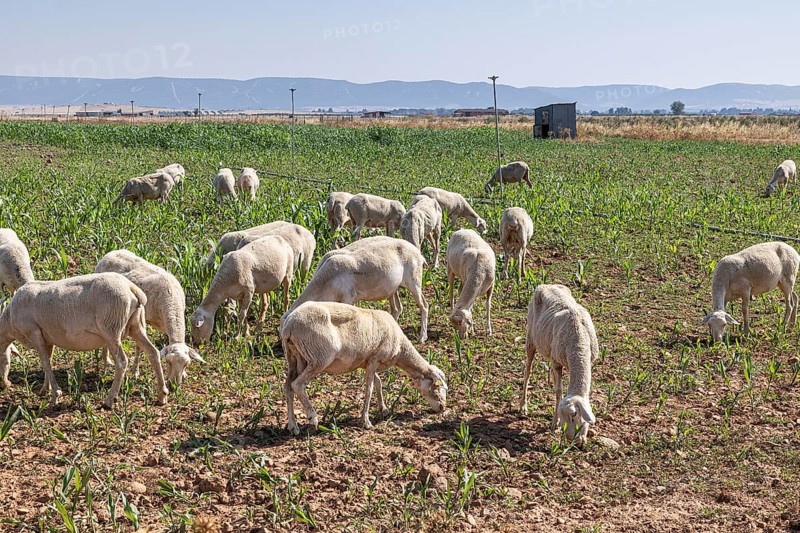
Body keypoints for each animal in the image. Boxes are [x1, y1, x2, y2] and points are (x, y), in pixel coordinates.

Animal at [0, 273, 168, 407]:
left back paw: (109, 400)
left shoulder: (33, 332)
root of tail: (132, 288)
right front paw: (45, 389)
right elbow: (48, 360)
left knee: (121, 361)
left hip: (111, 327)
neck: (8, 322)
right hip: (136, 325)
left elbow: (45, 363)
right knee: (153, 353)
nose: (5, 385)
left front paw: (55, 395)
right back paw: (162, 395)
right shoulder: (47, 337)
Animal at [95, 250, 204, 386]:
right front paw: (135, 371)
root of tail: (111, 252)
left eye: (186, 364)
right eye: (168, 362)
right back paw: (107, 361)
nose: (174, 385)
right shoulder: (144, 318)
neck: (171, 301)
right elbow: (139, 346)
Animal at [281, 301, 447, 434]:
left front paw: (384, 410)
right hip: (319, 357)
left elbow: (378, 383)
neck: (401, 348)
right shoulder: (375, 359)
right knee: (298, 384)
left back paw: (293, 426)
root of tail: (289, 326)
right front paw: (366, 421)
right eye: (437, 387)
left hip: (295, 358)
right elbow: (370, 389)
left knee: (288, 386)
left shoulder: (368, 361)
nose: (442, 408)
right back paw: (313, 419)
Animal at [287, 236, 429, 342]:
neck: (325, 283)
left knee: (424, 305)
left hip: (414, 281)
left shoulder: (347, 298)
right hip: (393, 288)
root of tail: (419, 253)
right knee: (397, 309)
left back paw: (422, 337)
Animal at [521, 284, 597, 446]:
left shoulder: (590, 360)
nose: (573, 441)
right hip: (531, 338)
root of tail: (546, 284)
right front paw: (554, 423)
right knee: (527, 371)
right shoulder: (557, 362)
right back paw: (523, 406)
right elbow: (558, 392)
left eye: (574, 414)